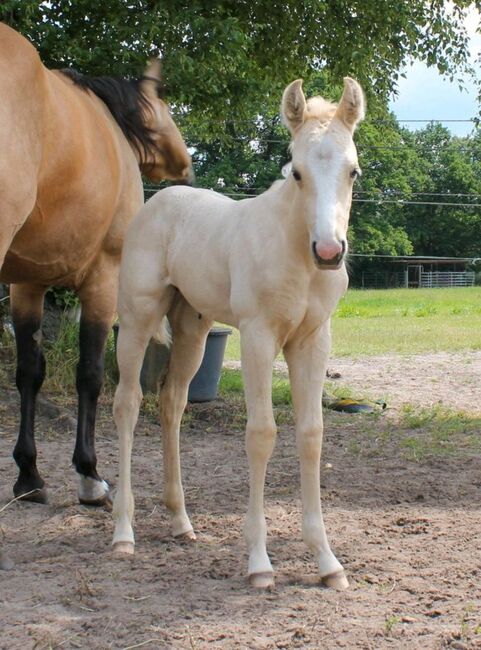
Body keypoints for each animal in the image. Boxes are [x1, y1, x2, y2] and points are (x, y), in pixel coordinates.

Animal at [0, 24, 191, 506]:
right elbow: (91, 373)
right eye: (166, 106)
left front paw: (29, 475)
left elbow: (29, 373)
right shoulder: (104, 279)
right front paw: (89, 475)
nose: (187, 165)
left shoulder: (27, 283)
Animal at [112, 77, 366, 588]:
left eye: (352, 171)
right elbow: (262, 433)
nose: (329, 251)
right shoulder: (257, 336)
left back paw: (181, 521)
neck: (295, 250)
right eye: (297, 174)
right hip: (136, 319)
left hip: (192, 327)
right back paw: (123, 533)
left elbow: (311, 433)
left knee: (172, 402)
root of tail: (159, 201)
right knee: (127, 403)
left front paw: (327, 561)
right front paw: (259, 563)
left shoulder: (313, 340)